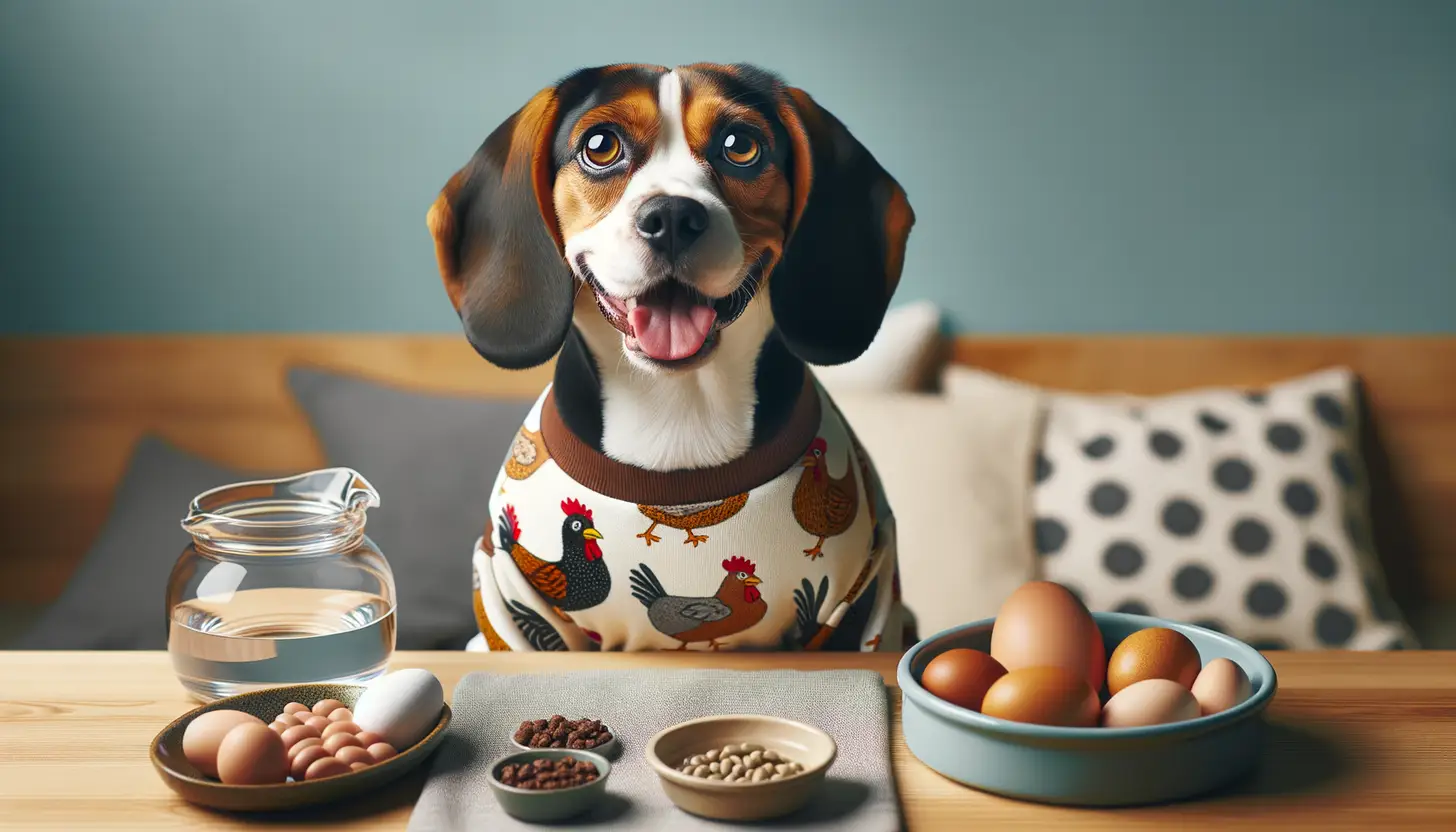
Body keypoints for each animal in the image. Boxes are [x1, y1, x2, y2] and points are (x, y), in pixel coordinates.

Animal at [425, 63, 914, 649]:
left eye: (740, 145)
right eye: (600, 146)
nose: (674, 217)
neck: (678, 407)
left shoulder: (859, 599)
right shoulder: (512, 604)